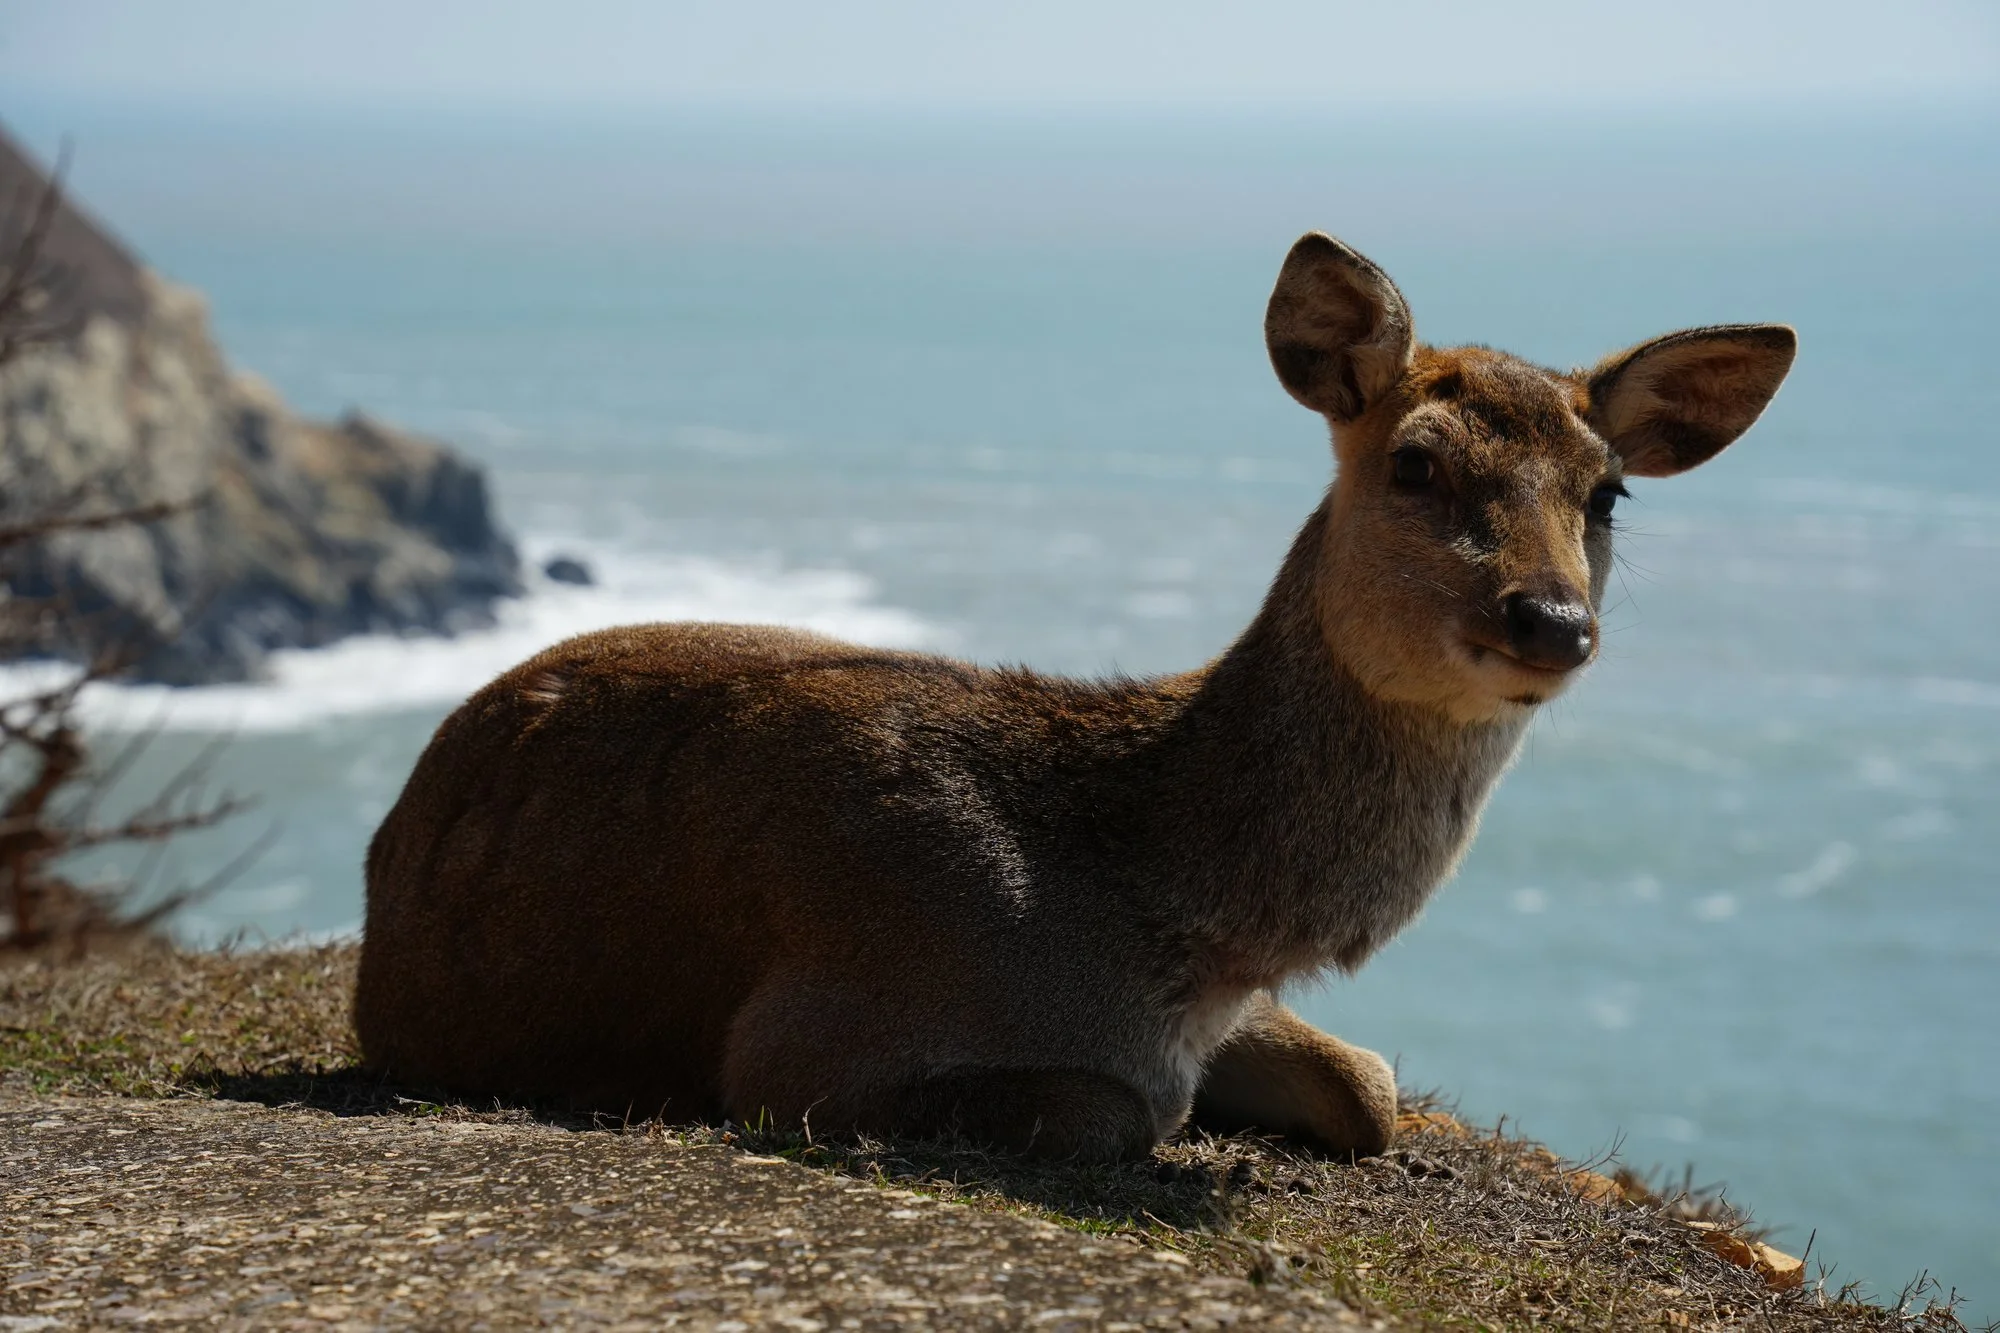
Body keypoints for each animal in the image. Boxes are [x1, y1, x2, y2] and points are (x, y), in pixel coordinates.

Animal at [356, 232, 1794, 1160]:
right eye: (1415, 464)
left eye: (1606, 491)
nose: (1551, 620)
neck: (1167, 924)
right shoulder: (807, 1034)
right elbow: (1124, 1111)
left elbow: (1372, 1087)